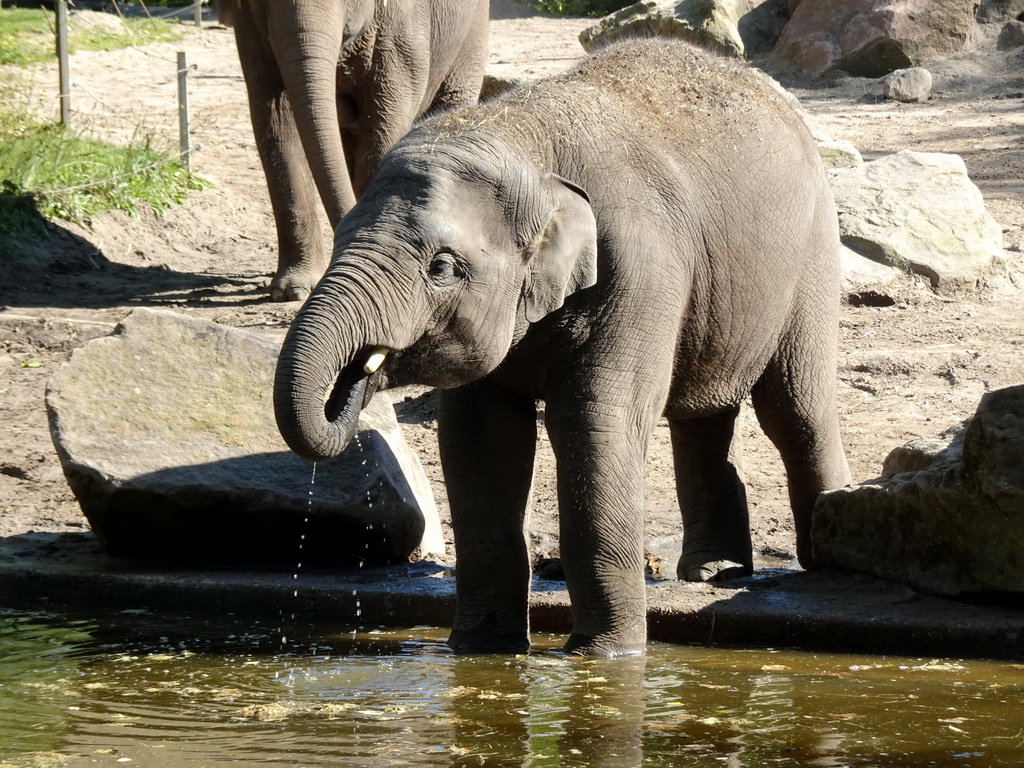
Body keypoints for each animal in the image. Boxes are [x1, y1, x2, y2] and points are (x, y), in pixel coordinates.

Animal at [234, 0, 489, 303]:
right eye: (264, 5)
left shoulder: (401, 32)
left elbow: (381, 127)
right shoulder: (248, 31)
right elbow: (276, 119)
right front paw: (292, 291)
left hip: (471, 37)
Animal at [276, 39, 851, 659]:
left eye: (442, 267)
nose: (355, 378)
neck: (524, 140)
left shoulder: (640, 268)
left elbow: (593, 421)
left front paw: (604, 658)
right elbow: (480, 437)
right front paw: (481, 649)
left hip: (812, 253)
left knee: (794, 407)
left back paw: (818, 560)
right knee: (704, 414)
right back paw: (714, 571)